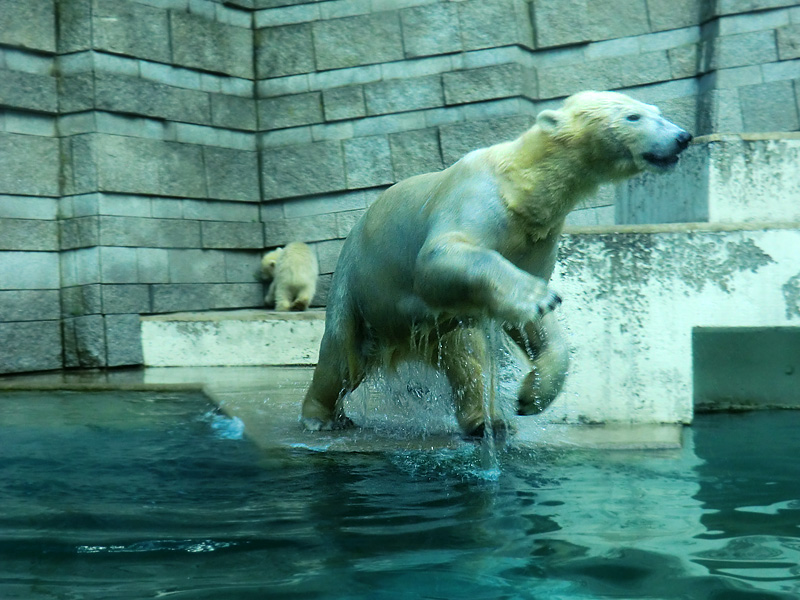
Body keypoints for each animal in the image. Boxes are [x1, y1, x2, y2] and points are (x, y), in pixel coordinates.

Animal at [304, 90, 692, 436]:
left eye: (656, 111)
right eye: (633, 116)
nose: (682, 137)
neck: (521, 187)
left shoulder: (537, 238)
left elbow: (529, 321)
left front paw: (531, 395)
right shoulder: (476, 201)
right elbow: (439, 260)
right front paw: (537, 299)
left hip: (431, 323)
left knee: (463, 352)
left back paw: (487, 421)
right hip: (357, 283)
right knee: (343, 356)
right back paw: (322, 416)